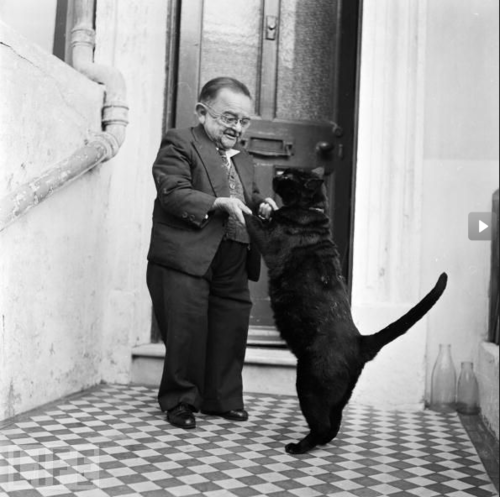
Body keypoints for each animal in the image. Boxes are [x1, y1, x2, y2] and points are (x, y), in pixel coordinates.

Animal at [244, 168, 448, 454]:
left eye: (289, 177)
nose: (277, 174)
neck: (311, 210)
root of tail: (360, 341)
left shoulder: (268, 238)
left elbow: (248, 216)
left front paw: (233, 200)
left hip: (308, 385)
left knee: (321, 426)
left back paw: (298, 447)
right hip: (337, 396)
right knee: (334, 424)